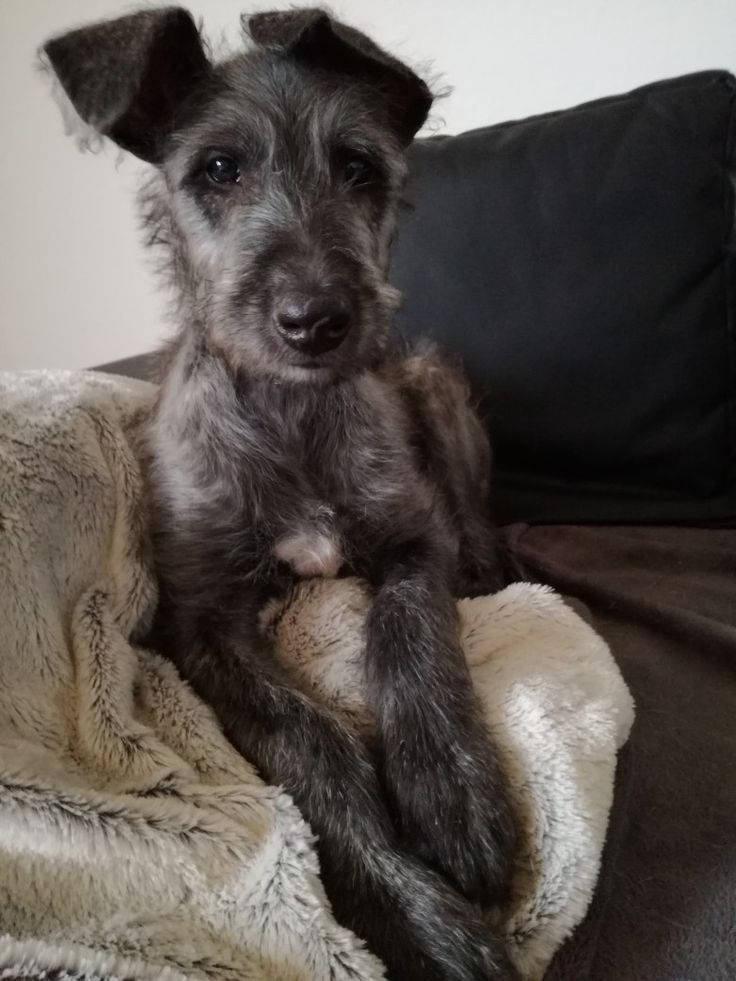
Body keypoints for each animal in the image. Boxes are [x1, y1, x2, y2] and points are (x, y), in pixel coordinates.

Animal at [44, 9, 516, 980]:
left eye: (359, 167)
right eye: (219, 169)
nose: (314, 321)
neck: (292, 414)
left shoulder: (411, 542)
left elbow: (410, 638)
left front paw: (452, 790)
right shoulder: (203, 621)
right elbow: (312, 742)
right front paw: (415, 914)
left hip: (432, 374)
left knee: (472, 512)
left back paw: (487, 559)